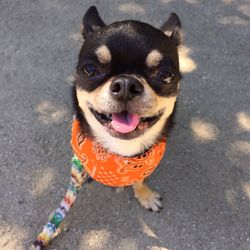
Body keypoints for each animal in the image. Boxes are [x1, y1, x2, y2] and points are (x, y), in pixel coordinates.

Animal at [33, 5, 182, 248]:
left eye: (165, 75)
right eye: (90, 70)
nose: (126, 84)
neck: (121, 154)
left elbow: (139, 180)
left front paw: (145, 195)